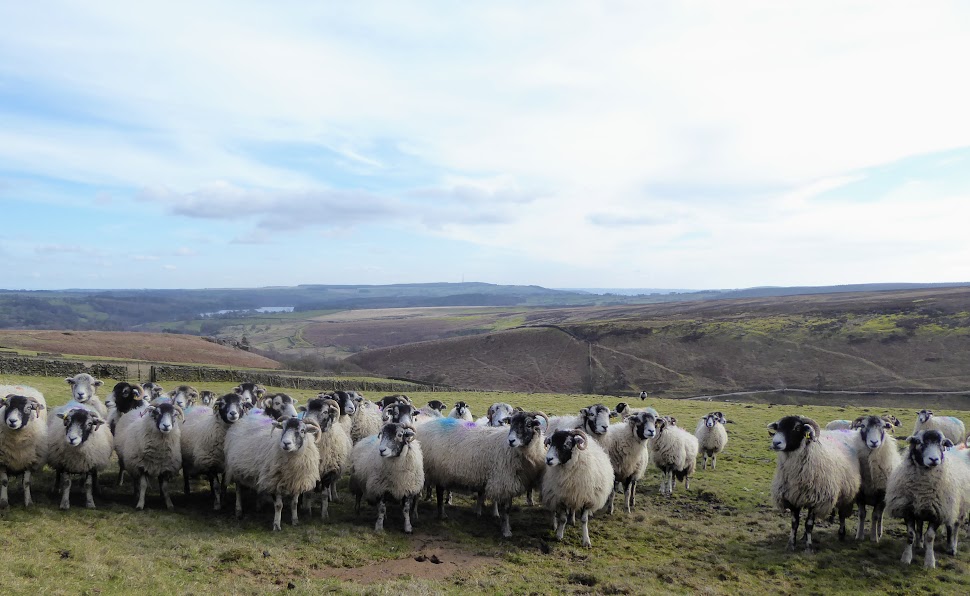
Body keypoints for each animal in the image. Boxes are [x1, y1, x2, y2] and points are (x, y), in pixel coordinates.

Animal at [419, 411, 548, 537]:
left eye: (528, 425)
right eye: (511, 423)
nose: (511, 441)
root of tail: (426, 426)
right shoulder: (504, 481)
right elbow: (506, 509)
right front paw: (506, 531)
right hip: (437, 470)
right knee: (440, 492)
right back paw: (442, 514)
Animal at [768, 415, 862, 552]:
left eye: (797, 428)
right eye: (778, 427)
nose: (776, 443)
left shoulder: (816, 500)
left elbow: (809, 524)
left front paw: (808, 547)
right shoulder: (793, 498)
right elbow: (794, 523)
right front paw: (791, 544)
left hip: (846, 492)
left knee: (842, 514)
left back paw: (841, 534)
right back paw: (803, 537)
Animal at [886, 429, 970, 568]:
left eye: (942, 443)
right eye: (919, 442)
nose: (934, 459)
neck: (922, 488)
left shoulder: (938, 512)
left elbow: (930, 537)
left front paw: (930, 562)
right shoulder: (908, 509)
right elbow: (910, 535)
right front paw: (906, 558)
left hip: (957, 506)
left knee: (955, 526)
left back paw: (952, 547)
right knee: (924, 524)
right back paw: (919, 543)